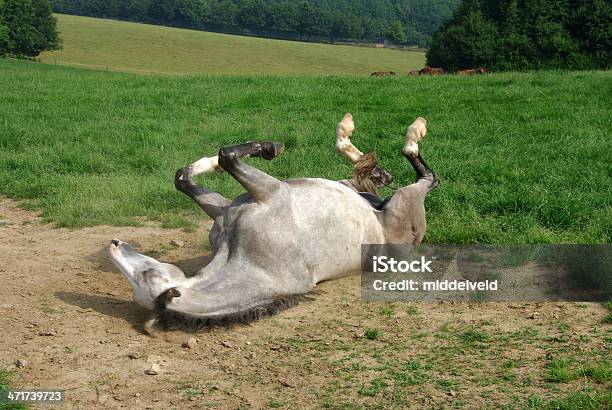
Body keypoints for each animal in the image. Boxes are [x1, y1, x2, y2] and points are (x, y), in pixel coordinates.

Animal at [109, 113, 436, 332]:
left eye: (147, 273)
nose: (114, 244)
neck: (250, 258)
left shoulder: (260, 195)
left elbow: (209, 164)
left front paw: (266, 148)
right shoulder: (243, 203)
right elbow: (203, 168)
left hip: (398, 197)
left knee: (420, 175)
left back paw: (398, 132)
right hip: (392, 197)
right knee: (397, 176)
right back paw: (370, 137)